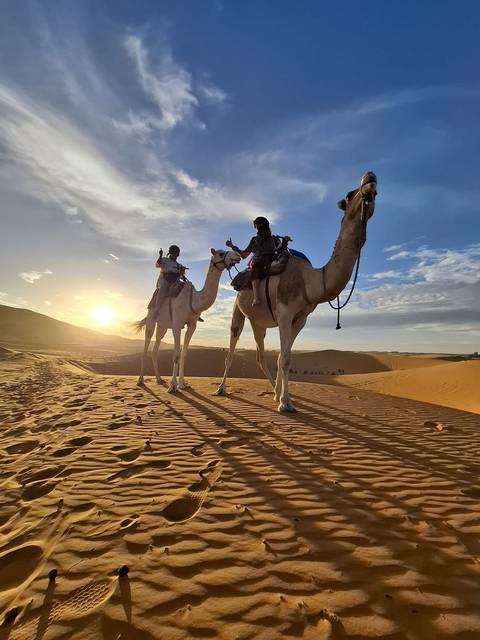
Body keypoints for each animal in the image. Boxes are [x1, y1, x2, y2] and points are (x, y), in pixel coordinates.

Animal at [135, 248, 241, 392]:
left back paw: (159, 379)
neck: (193, 300)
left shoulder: (192, 325)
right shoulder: (177, 325)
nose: (237, 256)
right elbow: (176, 355)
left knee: (155, 349)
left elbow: (184, 354)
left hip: (162, 326)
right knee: (147, 344)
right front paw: (173, 386)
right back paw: (140, 380)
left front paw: (182, 383)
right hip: (152, 318)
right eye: (220, 253)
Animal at [215, 171, 378, 412]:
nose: (370, 177)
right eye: (349, 194)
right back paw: (220, 389)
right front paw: (285, 403)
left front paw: (279, 396)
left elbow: (284, 356)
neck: (309, 281)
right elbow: (285, 358)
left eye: (376, 193)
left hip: (258, 322)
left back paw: (271, 390)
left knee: (260, 355)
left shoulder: (301, 318)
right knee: (231, 349)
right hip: (237, 309)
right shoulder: (284, 313)